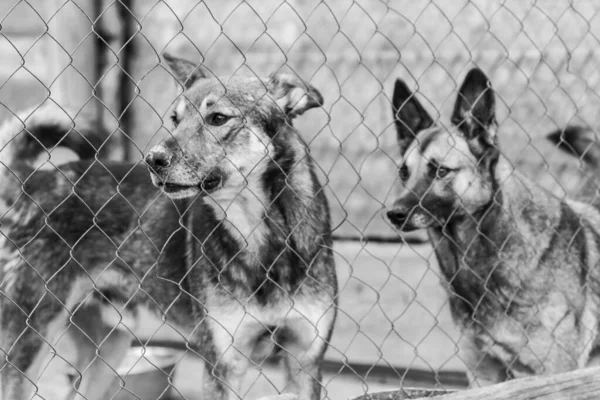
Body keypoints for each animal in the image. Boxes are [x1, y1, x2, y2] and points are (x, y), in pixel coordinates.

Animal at [0, 54, 338, 400]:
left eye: (218, 118)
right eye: (175, 119)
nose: (153, 159)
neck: (260, 235)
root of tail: (35, 180)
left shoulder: (305, 360)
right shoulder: (223, 365)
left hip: (109, 347)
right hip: (29, 337)